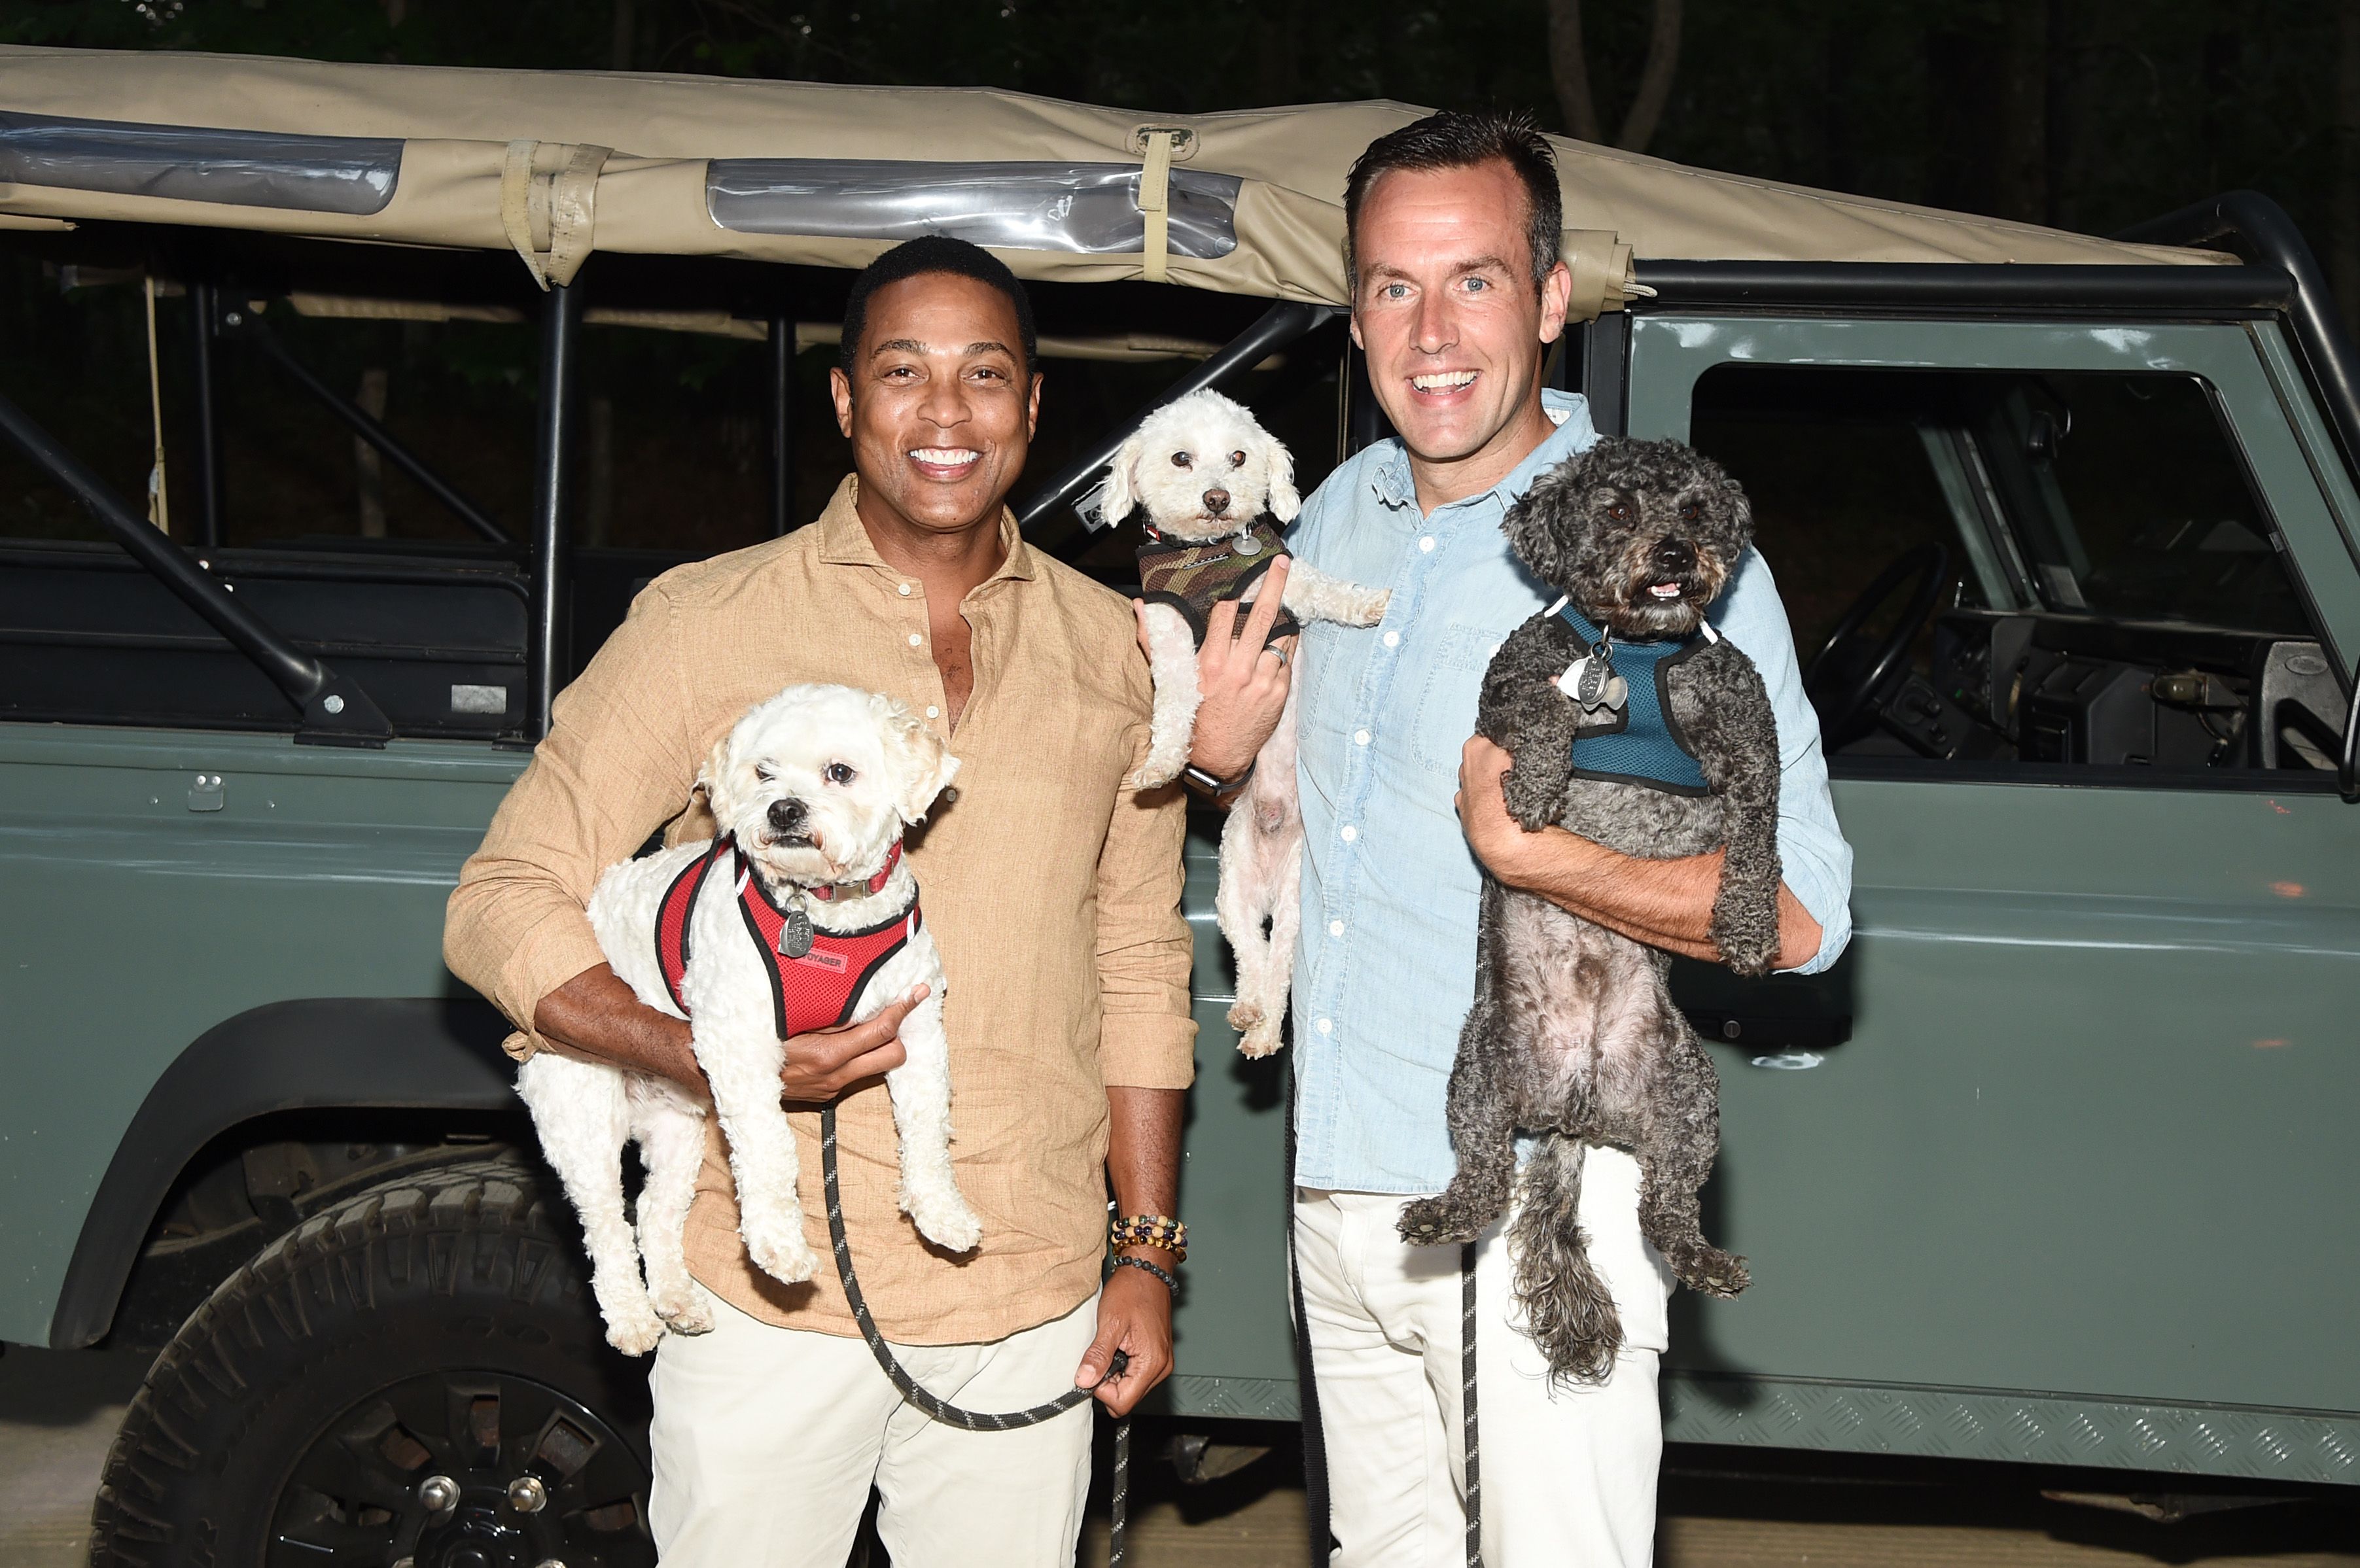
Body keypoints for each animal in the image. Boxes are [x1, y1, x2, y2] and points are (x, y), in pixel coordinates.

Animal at [521, 679, 972, 1348]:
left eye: (840, 772)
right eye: (764, 771)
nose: (782, 809)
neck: (824, 915)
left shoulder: (917, 1030)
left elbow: (926, 1128)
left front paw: (939, 1209)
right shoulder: (739, 1042)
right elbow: (769, 1146)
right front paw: (778, 1243)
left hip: (677, 1129)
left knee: (653, 1211)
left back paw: (677, 1299)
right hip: (581, 1115)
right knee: (605, 1223)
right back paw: (632, 1316)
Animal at [1099, 389, 1378, 1051]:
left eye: (1238, 456)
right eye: (1181, 458)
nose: (1218, 497)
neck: (1210, 556)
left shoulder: (1283, 581)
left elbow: (1331, 592)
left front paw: (1369, 603)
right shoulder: (1168, 632)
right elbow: (1176, 700)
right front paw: (1162, 761)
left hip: (1300, 901)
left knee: (1279, 964)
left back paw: (1263, 1025)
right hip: (1232, 893)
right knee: (1252, 954)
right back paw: (1250, 1014)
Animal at [1387, 434, 1774, 1377]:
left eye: (1695, 509)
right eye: (1617, 511)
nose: (1674, 555)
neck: (1625, 647)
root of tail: (1576, 1104)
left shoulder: (1748, 741)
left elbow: (1756, 835)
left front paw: (1748, 926)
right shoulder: (1504, 694)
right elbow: (1542, 711)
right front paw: (1536, 782)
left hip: (1687, 1100)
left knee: (1663, 1210)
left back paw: (1703, 1259)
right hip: (1477, 1078)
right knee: (1483, 1179)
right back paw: (1440, 1212)